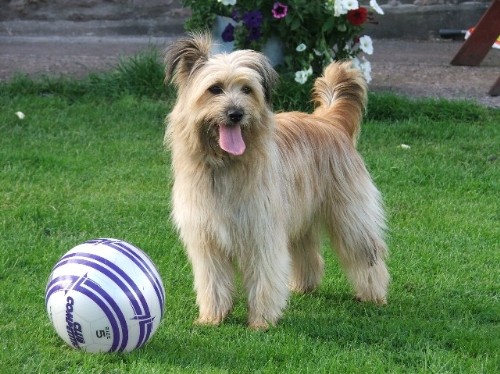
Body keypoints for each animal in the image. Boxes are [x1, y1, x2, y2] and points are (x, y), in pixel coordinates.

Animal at [165, 32, 390, 330]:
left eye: (247, 89)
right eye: (215, 89)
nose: (236, 114)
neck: (224, 165)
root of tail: (329, 122)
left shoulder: (262, 233)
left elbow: (264, 276)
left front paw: (260, 322)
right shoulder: (207, 239)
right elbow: (213, 281)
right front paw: (212, 317)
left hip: (350, 215)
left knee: (365, 253)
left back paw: (373, 295)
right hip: (300, 213)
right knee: (308, 252)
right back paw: (304, 286)